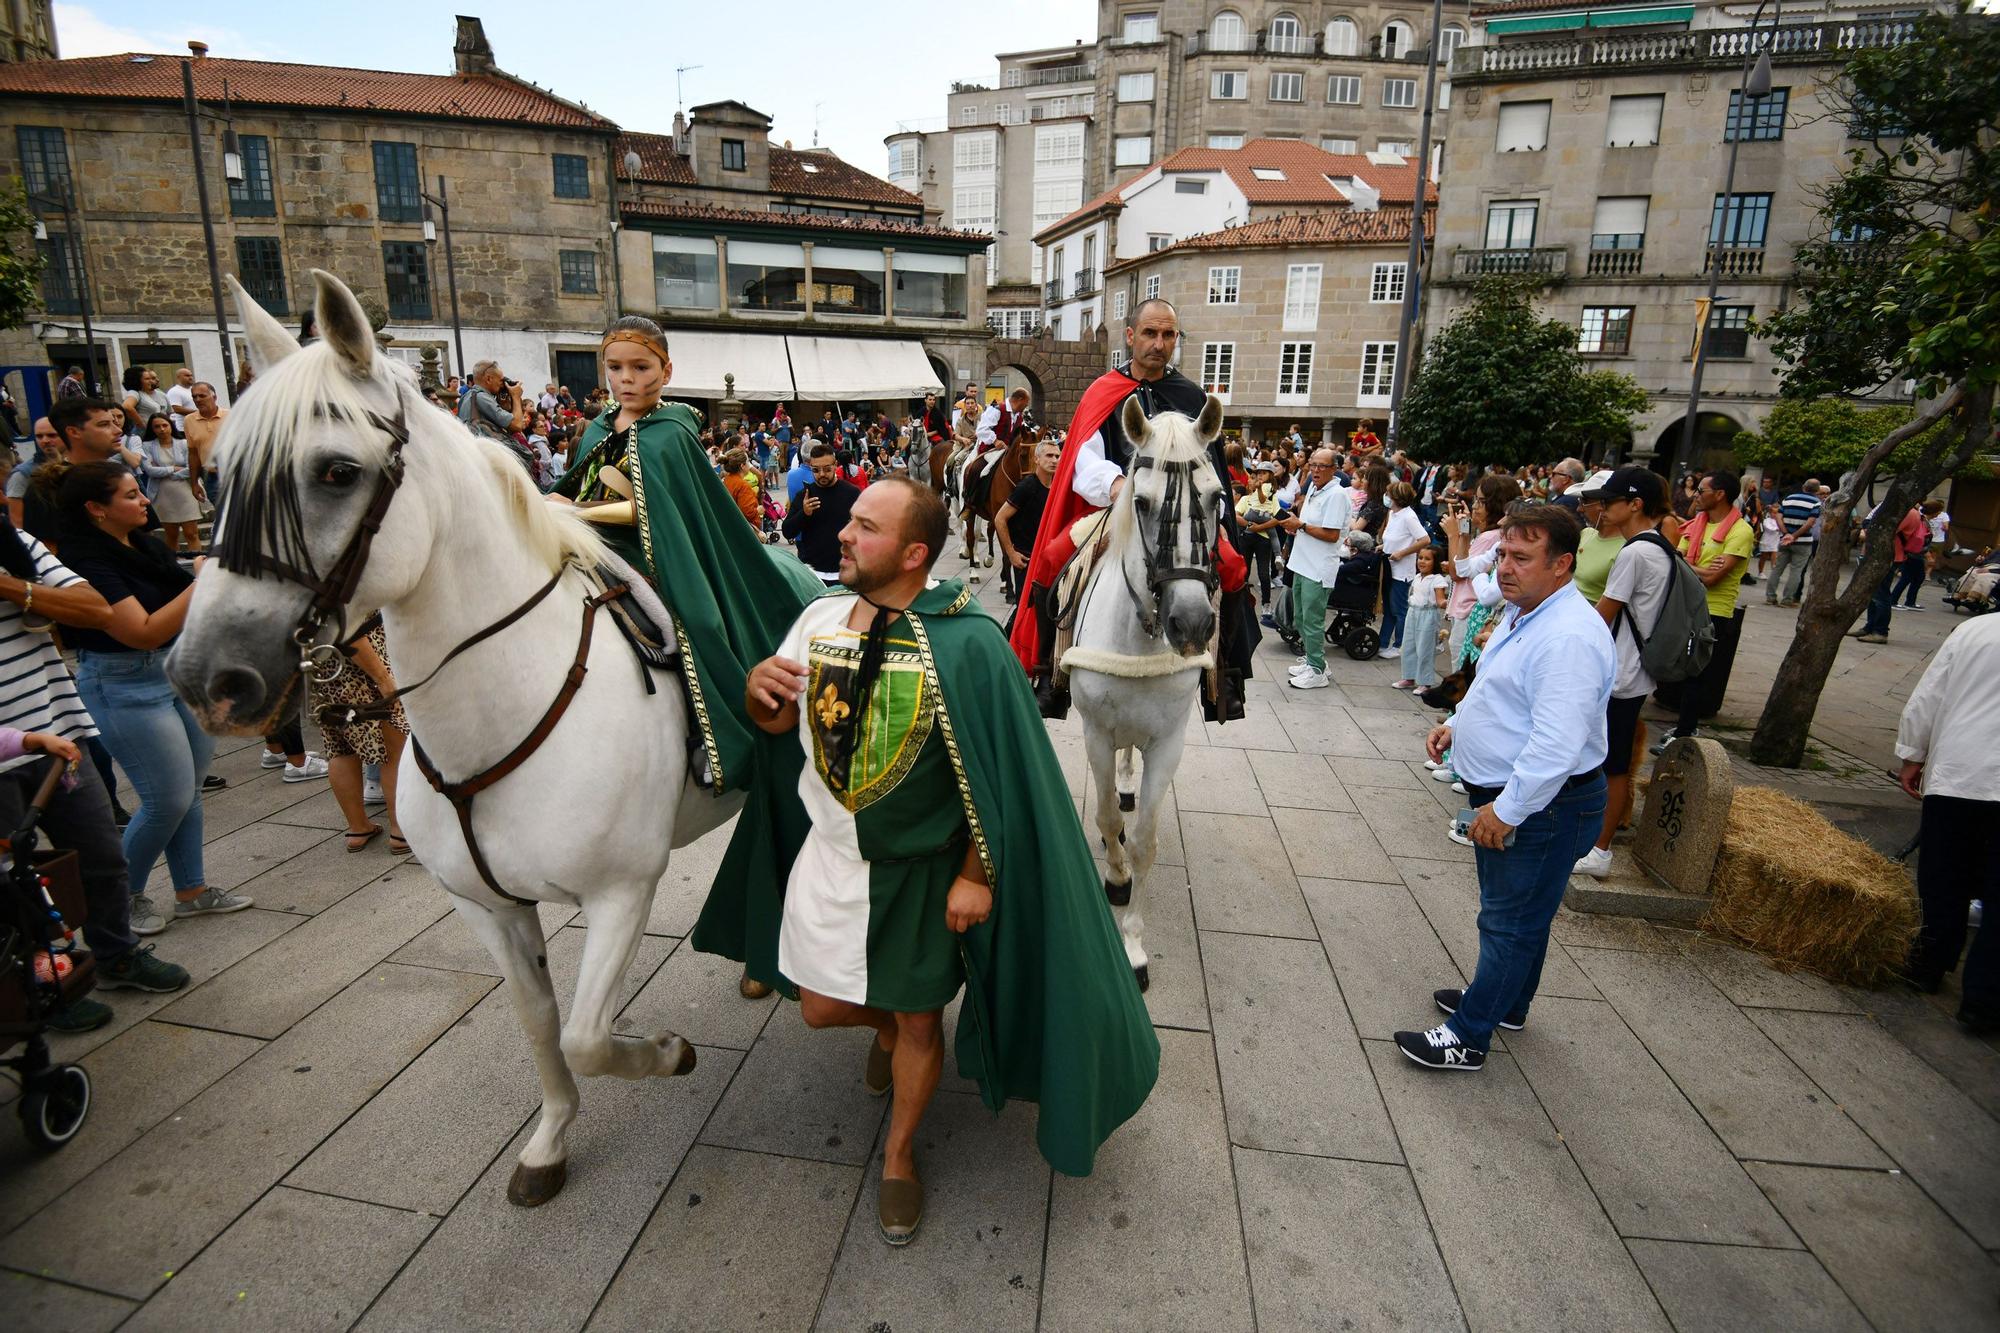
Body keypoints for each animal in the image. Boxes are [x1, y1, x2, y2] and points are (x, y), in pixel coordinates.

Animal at [166, 272, 744, 1200]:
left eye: (336, 471)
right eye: (216, 475)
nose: (206, 677)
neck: (504, 707)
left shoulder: (622, 891)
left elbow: (588, 1034)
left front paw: (667, 1049)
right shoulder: (485, 906)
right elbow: (540, 1021)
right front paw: (549, 1140)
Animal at [1064, 392, 1216, 984]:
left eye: (1217, 498)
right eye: (1144, 503)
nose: (1192, 624)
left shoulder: (1168, 742)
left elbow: (1147, 840)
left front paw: (1132, 945)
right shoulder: (1096, 733)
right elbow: (1108, 818)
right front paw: (1116, 878)